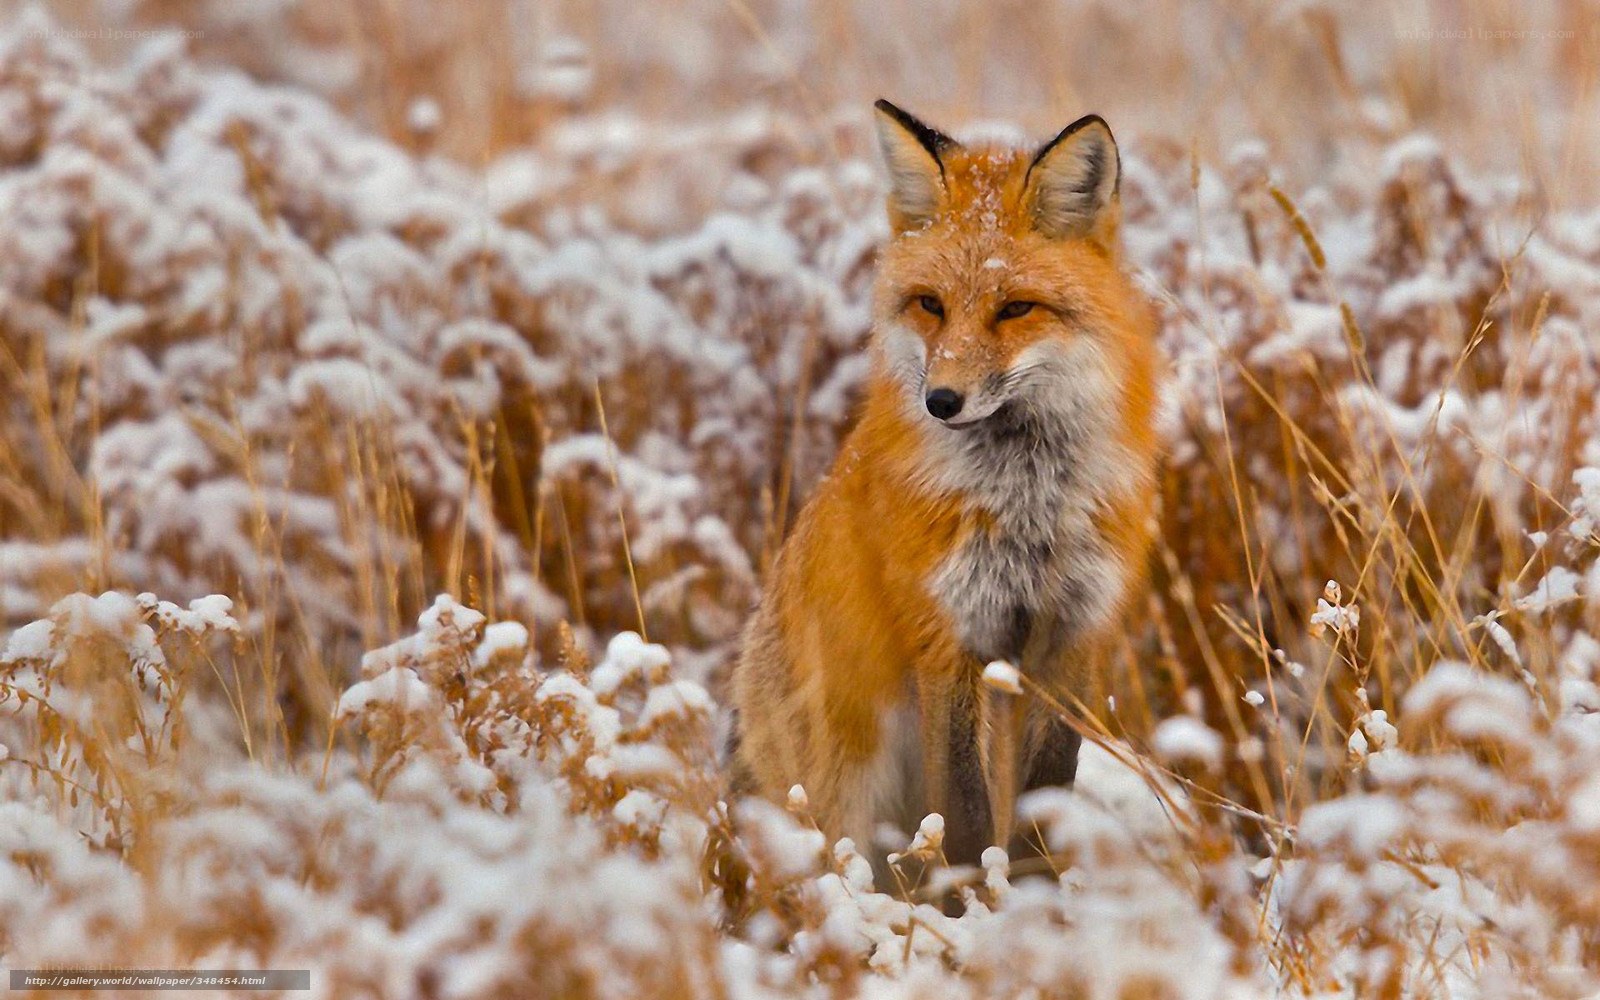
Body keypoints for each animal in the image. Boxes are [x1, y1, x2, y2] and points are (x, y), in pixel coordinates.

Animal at [729, 100, 1163, 865]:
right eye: (930, 304)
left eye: (1015, 308)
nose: (941, 400)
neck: (1028, 502)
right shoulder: (947, 635)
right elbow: (960, 814)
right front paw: (969, 890)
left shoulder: (1072, 635)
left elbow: (1045, 796)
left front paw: (1035, 890)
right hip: (845, 787)